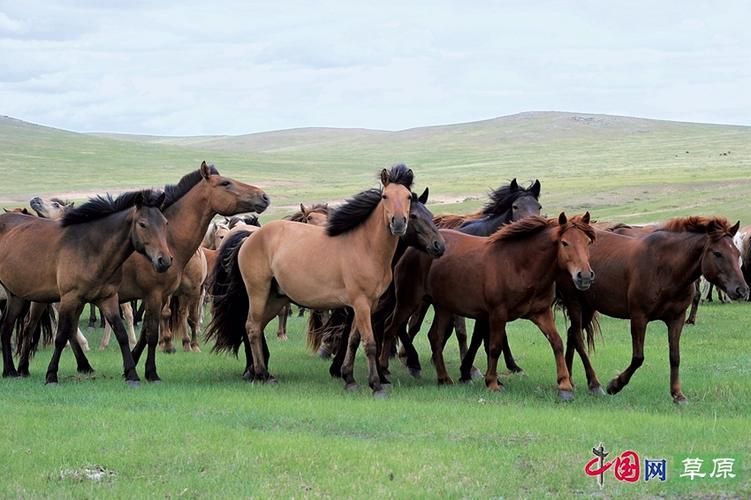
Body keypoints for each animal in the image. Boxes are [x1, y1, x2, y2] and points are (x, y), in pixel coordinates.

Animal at [1, 190, 173, 385]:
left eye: (165, 223)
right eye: (142, 224)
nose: (164, 260)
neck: (91, 248)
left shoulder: (108, 298)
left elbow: (120, 333)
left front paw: (131, 374)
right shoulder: (69, 298)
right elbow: (62, 335)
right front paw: (51, 375)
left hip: (17, 297)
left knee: (8, 328)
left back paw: (12, 370)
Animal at [115, 162, 269, 382]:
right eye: (225, 183)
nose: (264, 196)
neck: (166, 239)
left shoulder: (160, 295)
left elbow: (147, 331)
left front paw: (132, 364)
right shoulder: (154, 294)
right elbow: (152, 331)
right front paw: (148, 370)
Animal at [207, 164, 413, 397]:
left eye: (409, 196)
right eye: (385, 196)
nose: (398, 223)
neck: (365, 246)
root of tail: (250, 238)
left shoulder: (369, 304)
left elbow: (353, 340)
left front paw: (349, 379)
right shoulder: (360, 303)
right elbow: (369, 343)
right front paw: (376, 386)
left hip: (276, 297)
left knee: (257, 327)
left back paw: (265, 374)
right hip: (258, 292)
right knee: (251, 327)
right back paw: (261, 374)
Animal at [385, 213, 595, 400]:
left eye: (588, 243)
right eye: (565, 243)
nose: (584, 276)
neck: (519, 265)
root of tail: (411, 250)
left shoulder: (541, 313)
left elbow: (557, 343)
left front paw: (565, 385)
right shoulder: (497, 314)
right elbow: (494, 347)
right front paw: (492, 383)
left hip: (443, 307)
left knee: (434, 337)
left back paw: (444, 378)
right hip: (408, 302)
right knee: (391, 329)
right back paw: (386, 372)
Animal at [545, 217, 748, 404]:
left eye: (737, 253)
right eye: (718, 253)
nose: (742, 290)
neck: (666, 268)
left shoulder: (677, 318)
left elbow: (675, 357)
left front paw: (678, 395)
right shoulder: (639, 318)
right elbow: (638, 357)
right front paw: (615, 385)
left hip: (588, 306)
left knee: (572, 334)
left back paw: (569, 379)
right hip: (575, 303)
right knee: (578, 338)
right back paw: (594, 384)